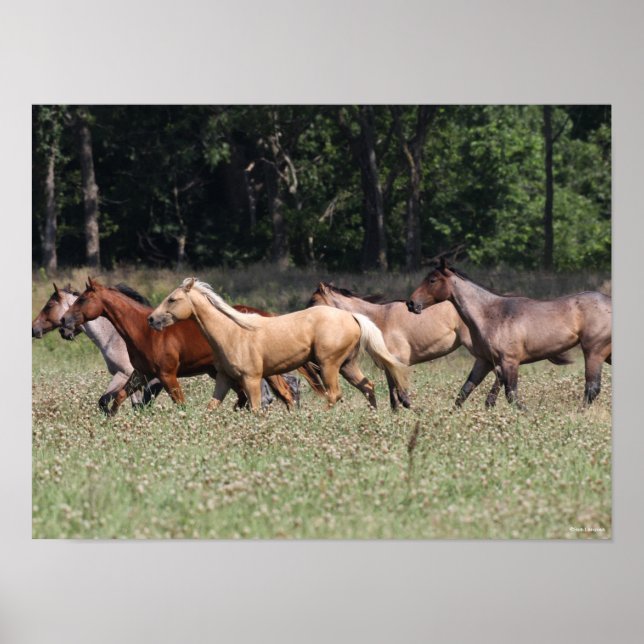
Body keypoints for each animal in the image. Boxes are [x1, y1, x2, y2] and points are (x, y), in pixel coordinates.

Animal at [59, 277, 309, 414]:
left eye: (82, 299)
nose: (63, 322)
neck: (143, 331)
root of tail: (269, 315)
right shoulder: (141, 373)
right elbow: (118, 398)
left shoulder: (167, 375)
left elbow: (180, 404)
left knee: (285, 393)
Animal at [148, 278, 410, 412]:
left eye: (172, 299)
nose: (151, 319)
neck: (232, 332)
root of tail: (352, 316)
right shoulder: (224, 379)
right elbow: (211, 408)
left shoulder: (252, 379)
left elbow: (255, 408)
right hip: (347, 365)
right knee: (368, 387)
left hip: (329, 365)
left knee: (334, 394)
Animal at [306, 282, 510, 409]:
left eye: (314, 301)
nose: (306, 320)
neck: (379, 321)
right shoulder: (389, 367)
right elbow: (393, 399)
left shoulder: (400, 364)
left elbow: (403, 397)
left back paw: (490, 402)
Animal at [407, 258, 612, 408]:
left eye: (432, 280)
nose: (411, 303)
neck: (490, 314)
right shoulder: (485, 361)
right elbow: (464, 392)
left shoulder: (510, 362)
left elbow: (511, 395)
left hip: (594, 351)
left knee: (592, 388)